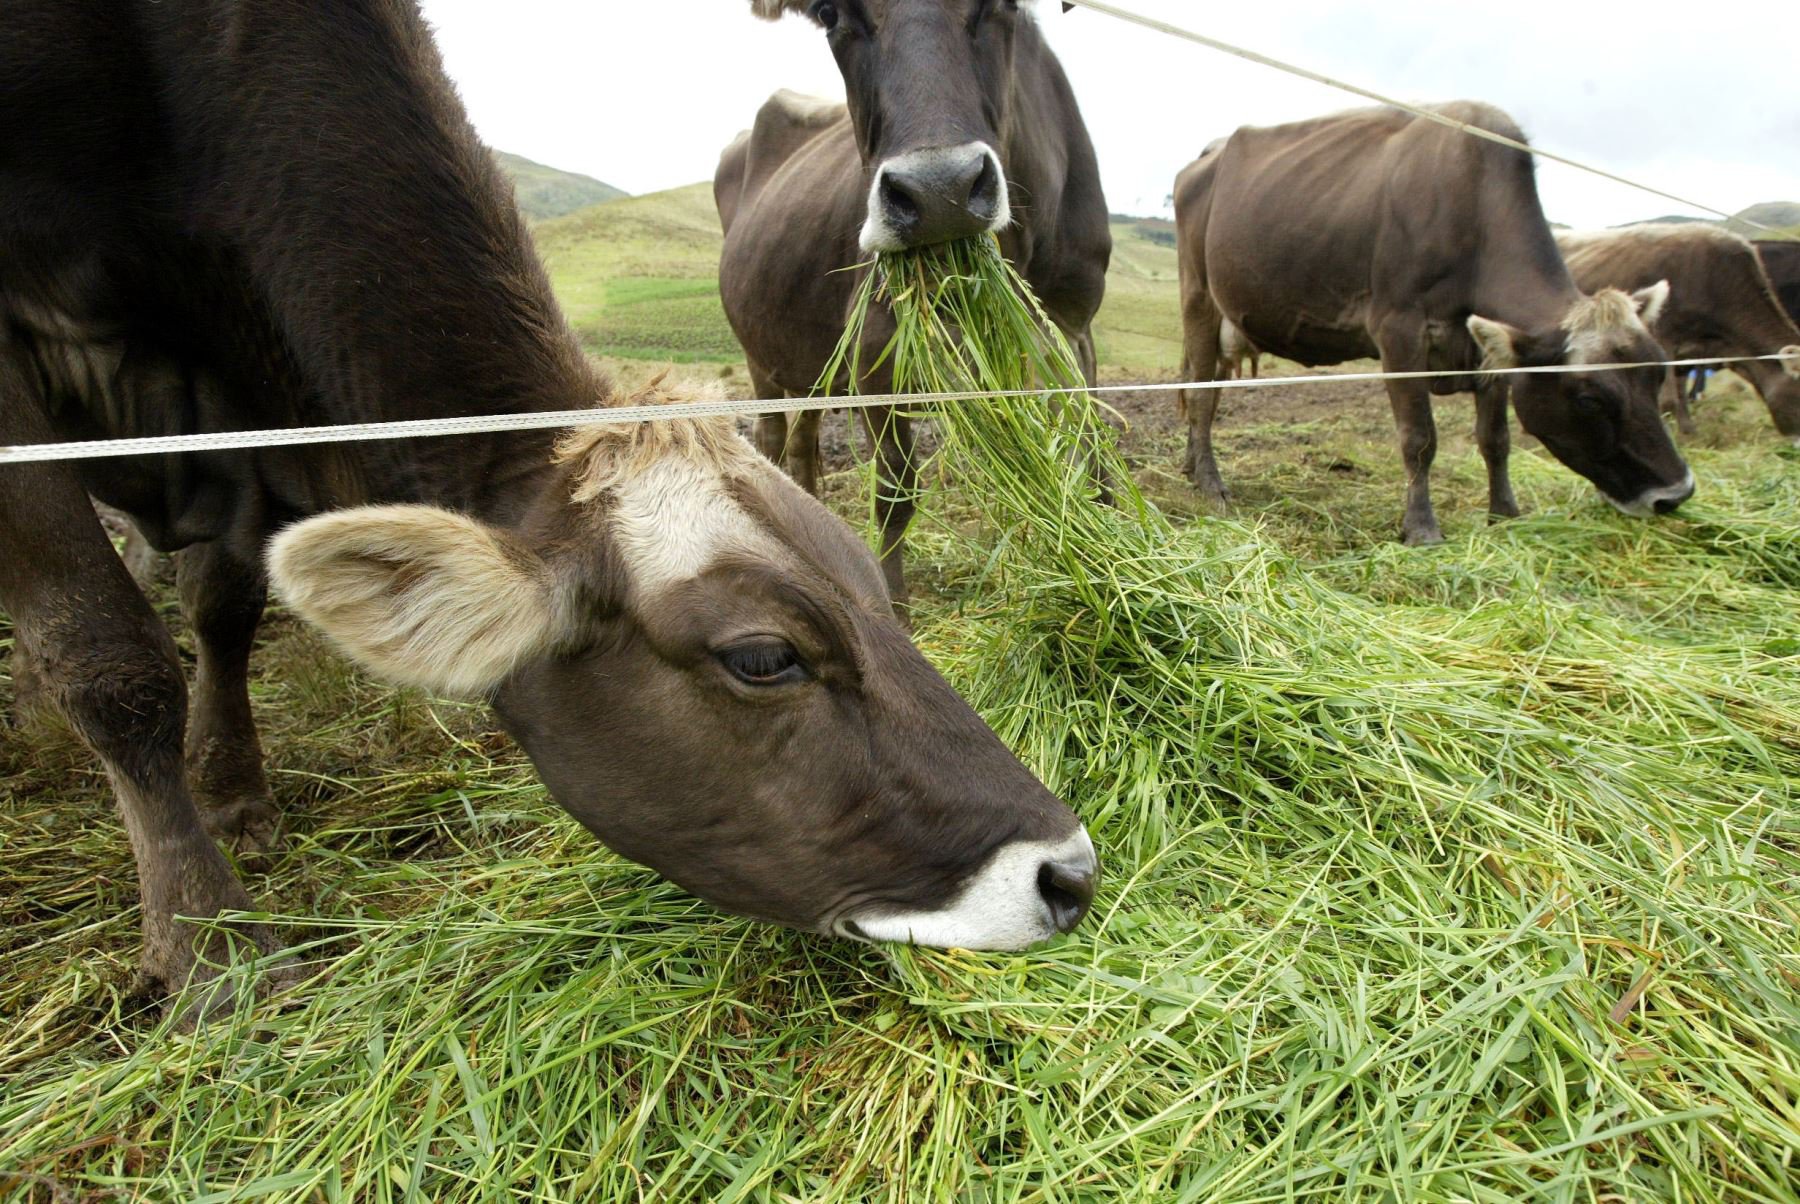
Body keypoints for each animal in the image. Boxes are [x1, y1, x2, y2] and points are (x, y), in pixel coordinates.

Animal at [712, 0, 1108, 601]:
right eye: (830, 14)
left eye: (1004, 6)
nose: (939, 192)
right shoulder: (877, 349)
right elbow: (896, 492)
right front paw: (896, 611)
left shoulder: (1074, 329)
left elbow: (1094, 450)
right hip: (760, 354)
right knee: (774, 440)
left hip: (811, 361)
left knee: (803, 441)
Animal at [1173, 103, 1692, 543]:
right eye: (1588, 399)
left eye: (1657, 373)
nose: (1676, 493)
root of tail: (1209, 153)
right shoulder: (1399, 330)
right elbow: (1420, 438)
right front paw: (1422, 528)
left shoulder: (1487, 350)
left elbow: (1496, 439)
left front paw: (1505, 513)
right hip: (1199, 294)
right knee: (1200, 393)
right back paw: (1211, 483)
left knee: (1207, 387)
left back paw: (1192, 466)